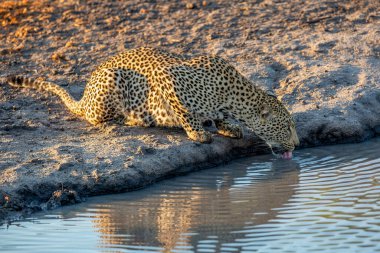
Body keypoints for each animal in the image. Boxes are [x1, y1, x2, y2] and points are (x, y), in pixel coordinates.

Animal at [6, 47, 300, 158]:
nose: (298, 144)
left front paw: (227, 126)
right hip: (111, 82)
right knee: (95, 117)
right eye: (286, 128)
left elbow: (219, 118)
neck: (231, 96)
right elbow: (184, 111)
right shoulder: (165, 76)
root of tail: (86, 93)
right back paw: (130, 119)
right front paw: (198, 132)